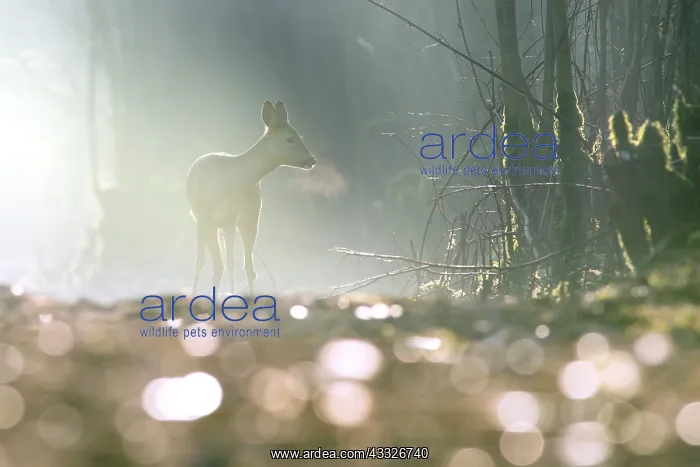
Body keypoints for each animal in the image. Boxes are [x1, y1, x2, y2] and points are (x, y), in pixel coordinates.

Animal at [186, 99, 316, 297]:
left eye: (299, 135)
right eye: (289, 139)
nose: (312, 159)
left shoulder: (233, 218)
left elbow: (232, 263)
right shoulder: (204, 217)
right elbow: (201, 261)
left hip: (250, 218)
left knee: (242, 266)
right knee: (216, 263)